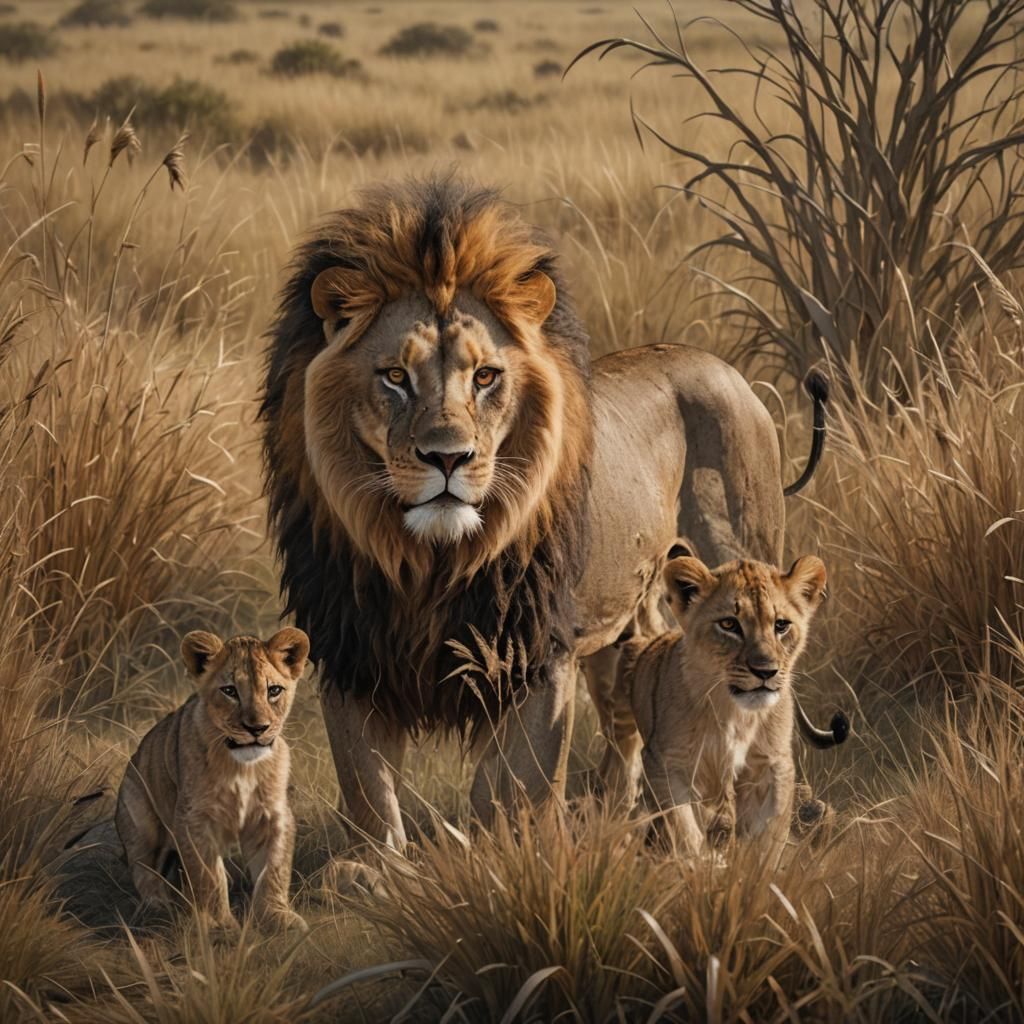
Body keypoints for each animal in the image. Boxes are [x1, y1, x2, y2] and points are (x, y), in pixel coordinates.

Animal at [114, 628, 310, 934]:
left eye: (274, 690)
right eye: (229, 691)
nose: (257, 729)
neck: (242, 767)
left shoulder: (274, 815)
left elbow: (274, 868)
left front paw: (277, 918)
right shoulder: (194, 818)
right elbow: (208, 874)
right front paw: (219, 926)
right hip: (139, 817)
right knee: (142, 869)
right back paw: (158, 909)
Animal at [611, 554, 828, 856]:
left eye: (781, 625)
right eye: (728, 625)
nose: (766, 671)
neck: (736, 712)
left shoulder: (775, 764)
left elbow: (767, 837)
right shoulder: (666, 763)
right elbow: (685, 830)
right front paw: (701, 863)